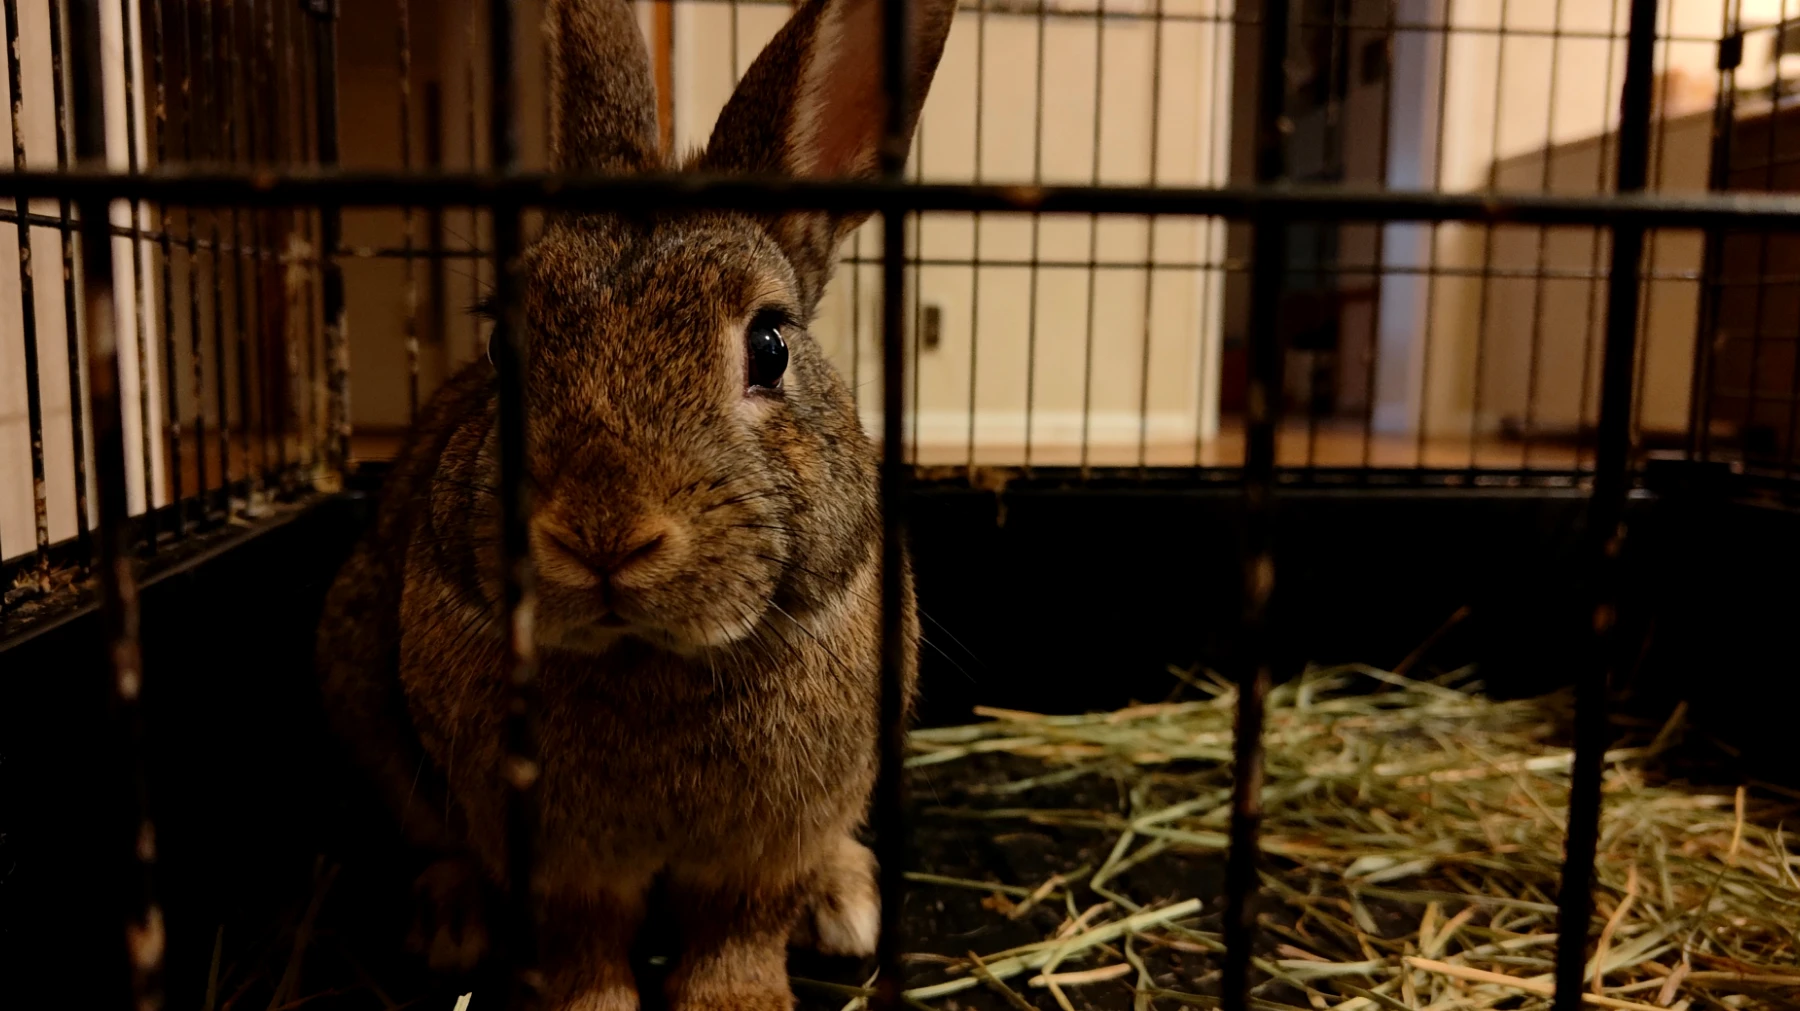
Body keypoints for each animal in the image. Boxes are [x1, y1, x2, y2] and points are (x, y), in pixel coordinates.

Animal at [314, 0, 955, 1007]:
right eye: (501, 347)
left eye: (769, 345)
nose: (603, 535)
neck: (650, 657)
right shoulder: (552, 855)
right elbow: (583, 939)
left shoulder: (764, 845)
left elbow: (739, 925)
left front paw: (741, 999)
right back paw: (450, 924)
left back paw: (847, 899)